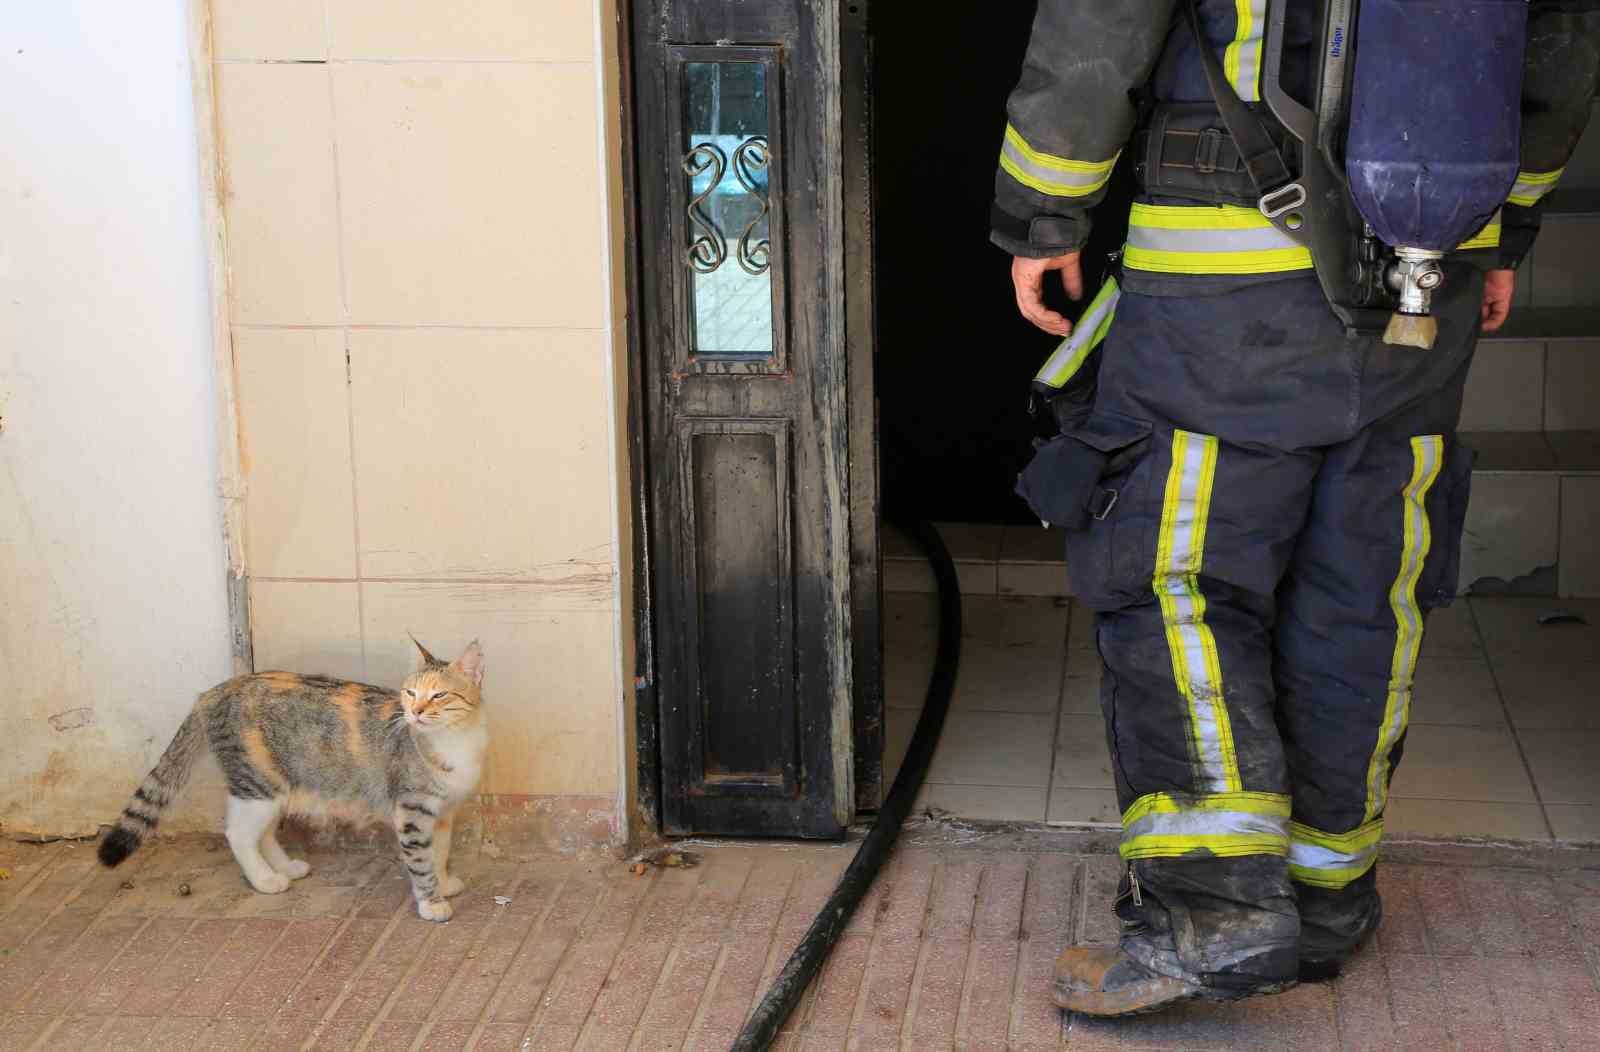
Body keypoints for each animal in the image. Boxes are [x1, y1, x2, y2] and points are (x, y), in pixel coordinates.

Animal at [96, 629, 483, 920]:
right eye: (410, 692)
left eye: (439, 694)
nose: (415, 712)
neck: (455, 740)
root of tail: (213, 692)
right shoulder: (412, 810)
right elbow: (420, 859)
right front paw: (432, 902)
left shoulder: (444, 813)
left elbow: (439, 852)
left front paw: (443, 881)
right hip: (258, 784)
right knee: (238, 833)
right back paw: (265, 880)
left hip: (276, 785)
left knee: (263, 833)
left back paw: (284, 868)